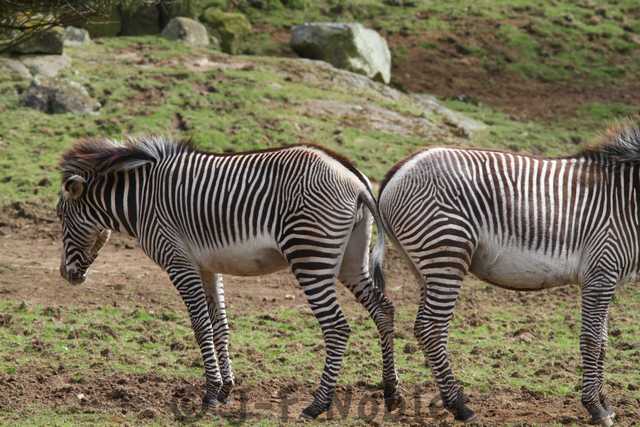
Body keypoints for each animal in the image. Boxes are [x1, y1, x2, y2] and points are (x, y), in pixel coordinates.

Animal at [56, 136, 403, 419]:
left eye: (60, 216)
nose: (66, 275)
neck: (141, 201)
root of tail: (353, 177)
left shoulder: (178, 262)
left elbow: (201, 327)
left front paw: (209, 395)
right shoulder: (208, 267)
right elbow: (219, 326)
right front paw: (225, 389)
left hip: (310, 254)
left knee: (337, 327)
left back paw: (317, 404)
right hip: (351, 258)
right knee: (383, 309)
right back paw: (391, 393)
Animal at [377, 123, 640, 426]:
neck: (628, 201)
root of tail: (402, 166)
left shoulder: (607, 277)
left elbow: (604, 341)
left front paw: (606, 404)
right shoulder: (601, 271)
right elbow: (592, 340)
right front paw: (595, 407)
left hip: (423, 264)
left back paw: (394, 394)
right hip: (446, 253)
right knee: (430, 327)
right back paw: (460, 407)